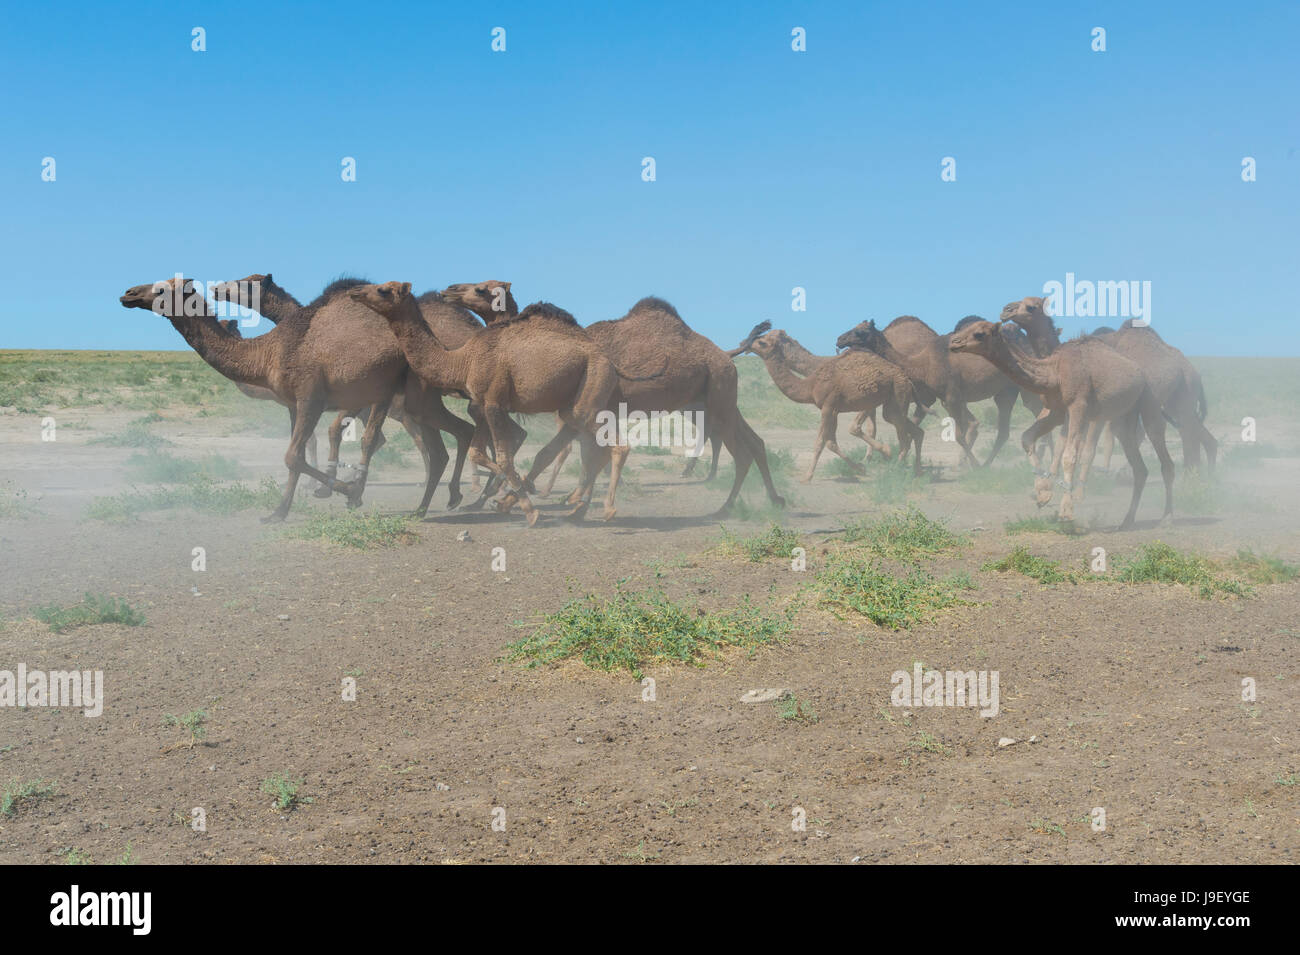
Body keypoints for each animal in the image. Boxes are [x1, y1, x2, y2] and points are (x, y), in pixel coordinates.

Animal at [120, 276, 416, 522]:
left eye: (161, 289)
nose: (128, 293)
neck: (268, 351)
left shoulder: (311, 397)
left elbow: (293, 456)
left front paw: (346, 492)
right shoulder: (293, 403)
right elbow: (297, 455)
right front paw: (280, 512)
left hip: (384, 390)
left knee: (371, 438)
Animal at [743, 328, 925, 480]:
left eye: (762, 342)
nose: (745, 344)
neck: (810, 384)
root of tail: (908, 380)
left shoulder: (828, 406)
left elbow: (821, 442)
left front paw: (808, 477)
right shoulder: (834, 409)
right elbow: (828, 442)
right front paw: (860, 468)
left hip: (898, 392)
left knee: (903, 437)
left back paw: (895, 468)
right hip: (892, 402)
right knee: (914, 430)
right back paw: (915, 471)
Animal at [946, 320, 1180, 530]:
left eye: (979, 333)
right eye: (967, 328)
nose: (953, 342)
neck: (1054, 372)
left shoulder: (1078, 406)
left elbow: (1070, 455)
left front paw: (1066, 512)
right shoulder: (1056, 411)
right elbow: (1027, 438)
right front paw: (1043, 493)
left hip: (1149, 399)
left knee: (1163, 455)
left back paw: (1167, 519)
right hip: (1123, 417)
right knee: (1139, 467)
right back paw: (1127, 521)